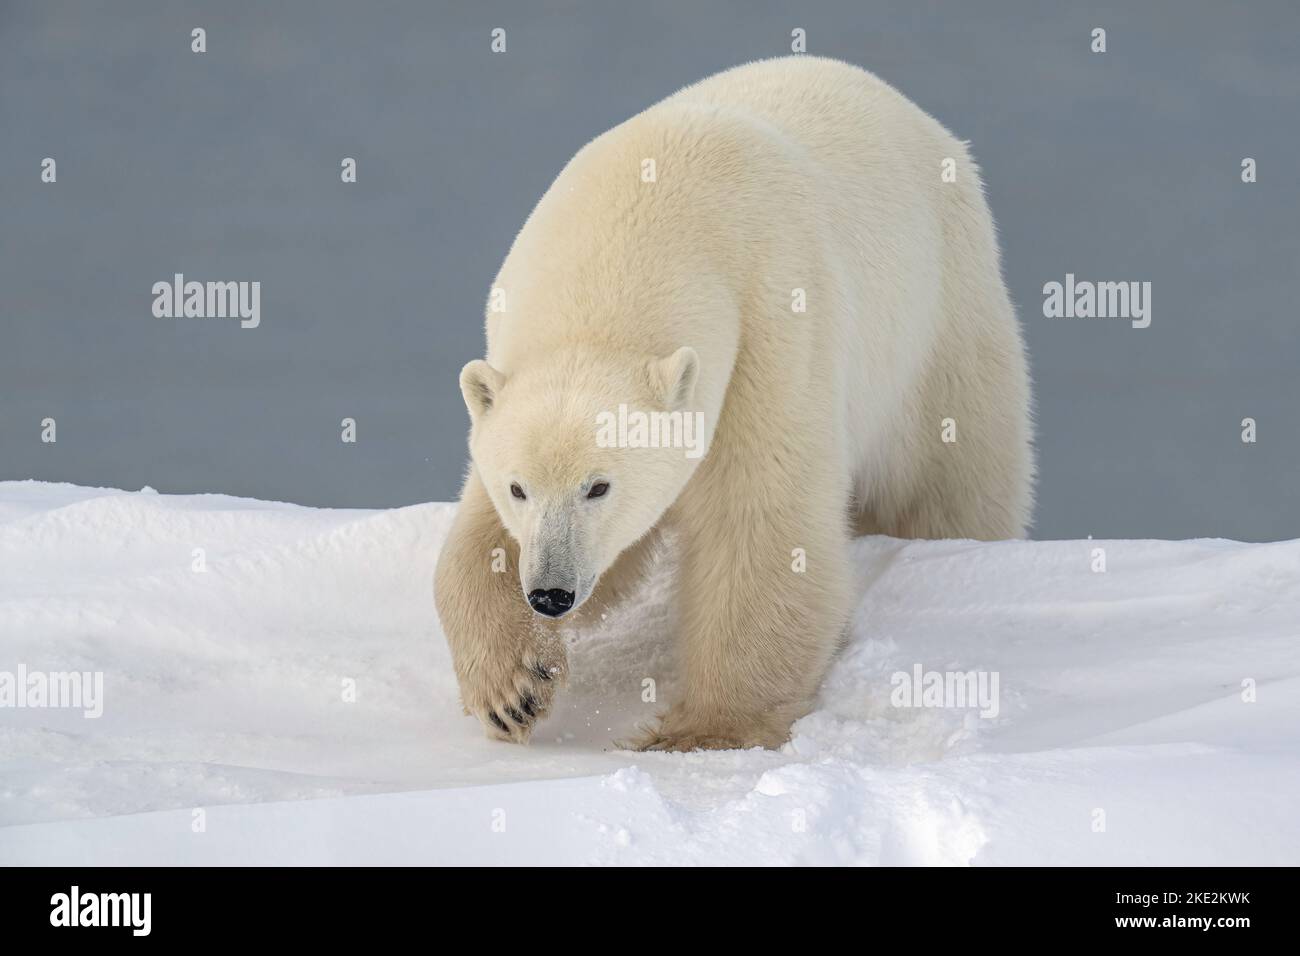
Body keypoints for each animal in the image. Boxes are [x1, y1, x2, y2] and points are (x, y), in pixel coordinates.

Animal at [436, 54, 1034, 754]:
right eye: (519, 488)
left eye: (599, 487)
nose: (551, 593)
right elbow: (479, 536)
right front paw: (513, 687)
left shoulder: (772, 329)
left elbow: (761, 520)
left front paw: (701, 732)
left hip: (941, 326)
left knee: (950, 478)